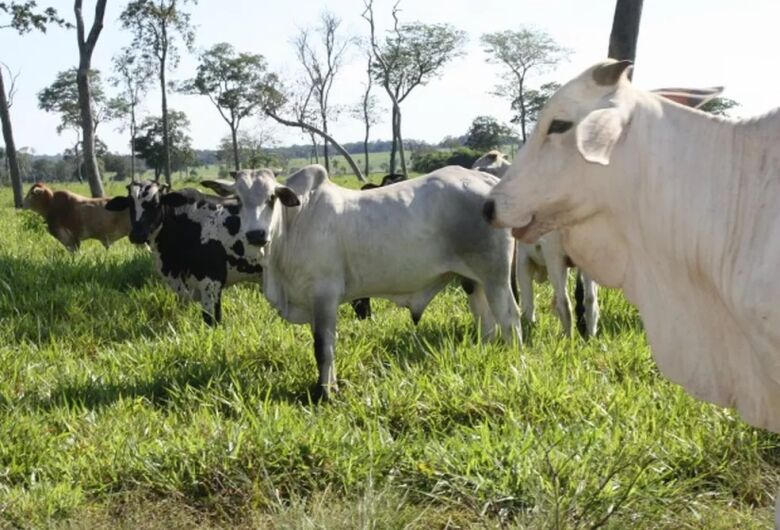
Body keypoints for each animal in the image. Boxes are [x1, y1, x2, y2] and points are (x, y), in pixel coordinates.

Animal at [202, 165, 521, 401]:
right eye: (238, 200)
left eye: (271, 198)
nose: (256, 235)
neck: (293, 225)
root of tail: (486, 179)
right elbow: (326, 346)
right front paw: (329, 385)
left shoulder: (324, 295)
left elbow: (323, 347)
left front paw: (325, 394)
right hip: (474, 281)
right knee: (486, 322)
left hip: (495, 276)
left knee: (509, 318)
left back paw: (512, 359)